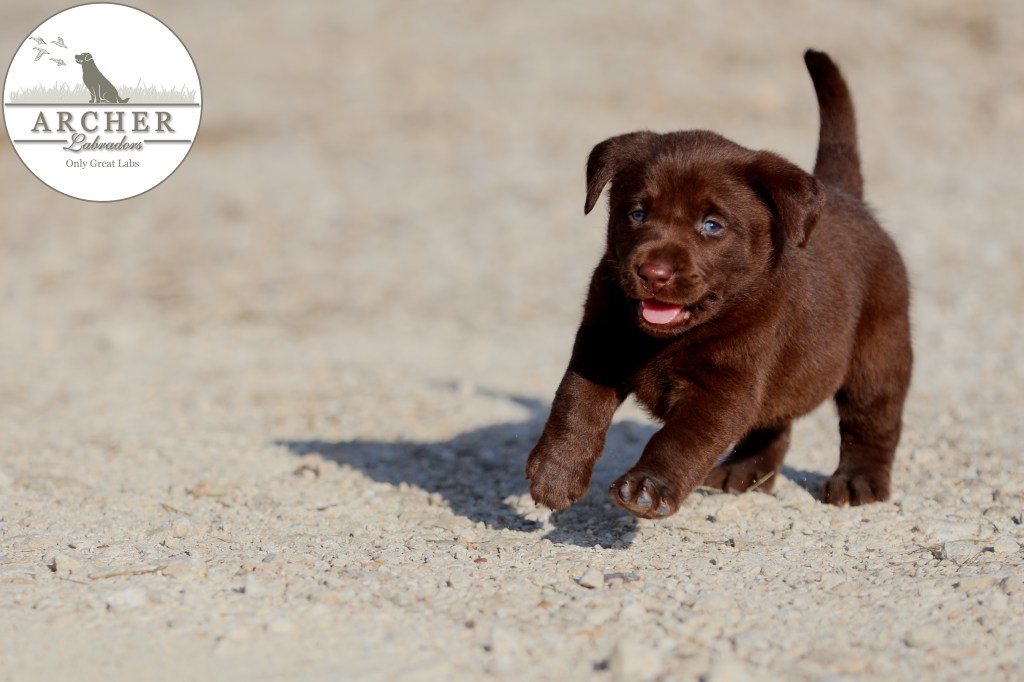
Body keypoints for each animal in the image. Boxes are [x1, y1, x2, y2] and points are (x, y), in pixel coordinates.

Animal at [525, 50, 912, 519]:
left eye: (712, 225)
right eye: (636, 213)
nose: (653, 272)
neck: (664, 339)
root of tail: (847, 195)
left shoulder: (725, 387)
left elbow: (679, 439)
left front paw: (647, 487)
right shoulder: (600, 343)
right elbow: (575, 404)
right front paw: (555, 473)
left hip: (879, 353)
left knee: (872, 422)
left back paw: (859, 482)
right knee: (772, 423)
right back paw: (745, 473)